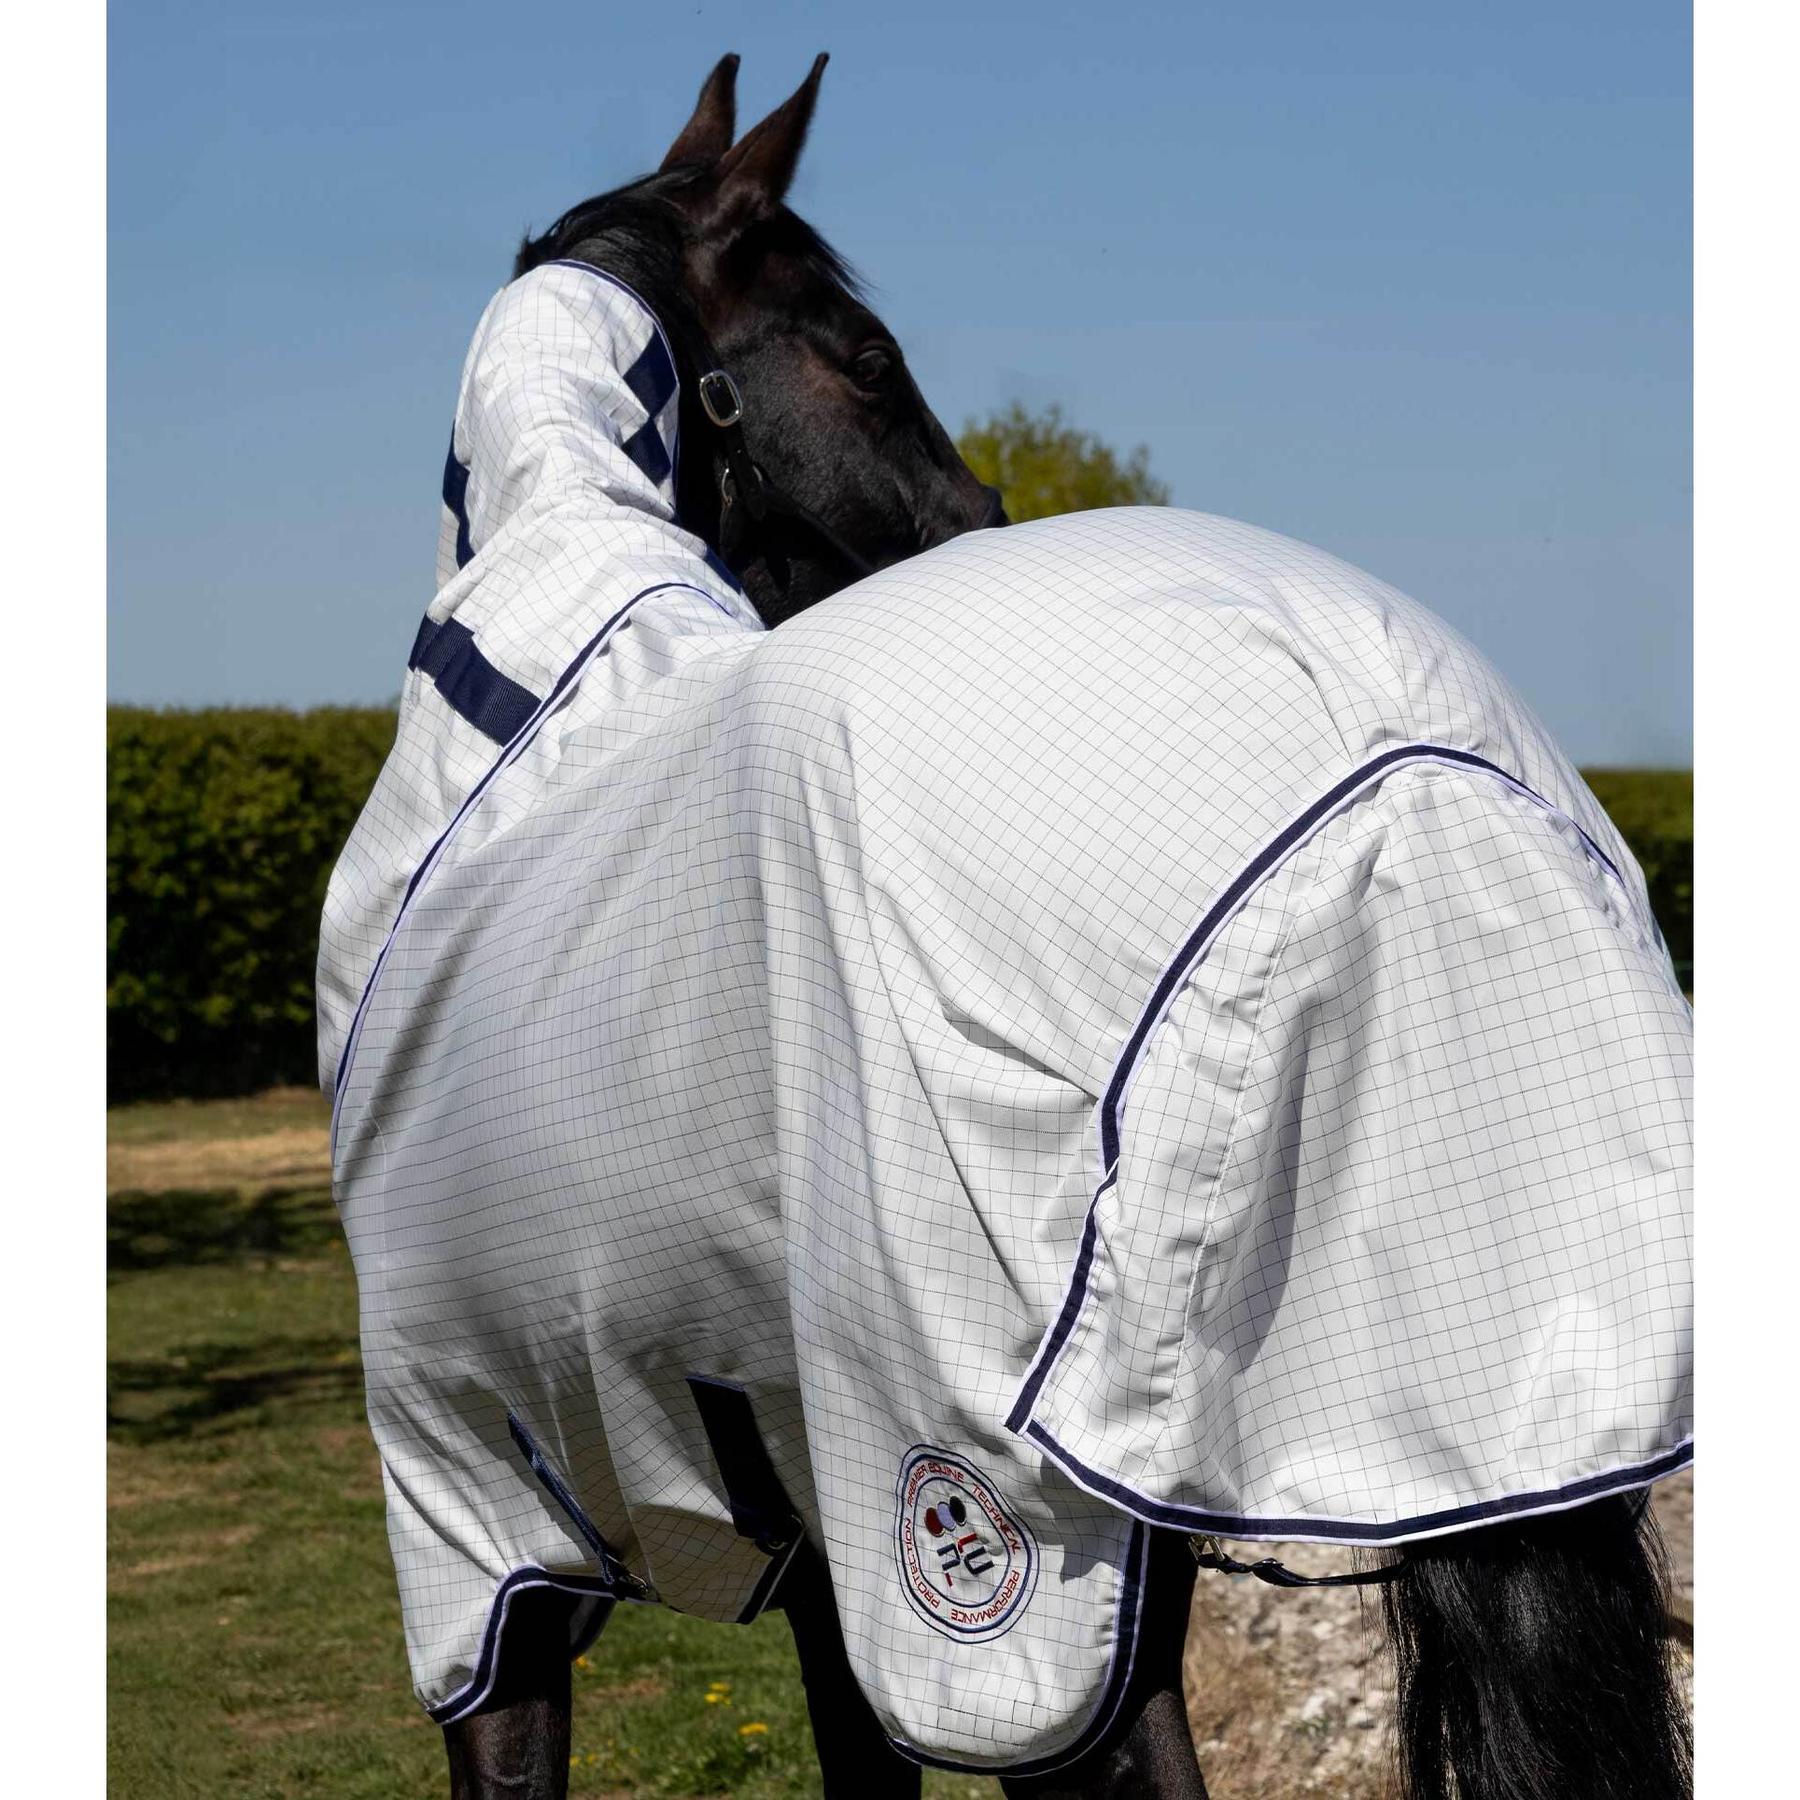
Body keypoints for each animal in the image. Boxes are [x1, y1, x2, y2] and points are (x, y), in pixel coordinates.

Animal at [327, 55, 1692, 1800]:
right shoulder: (769, 1561)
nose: (972, 518)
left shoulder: (489, 1557)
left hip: (1007, 1571)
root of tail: (1392, 782)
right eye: (865, 358)